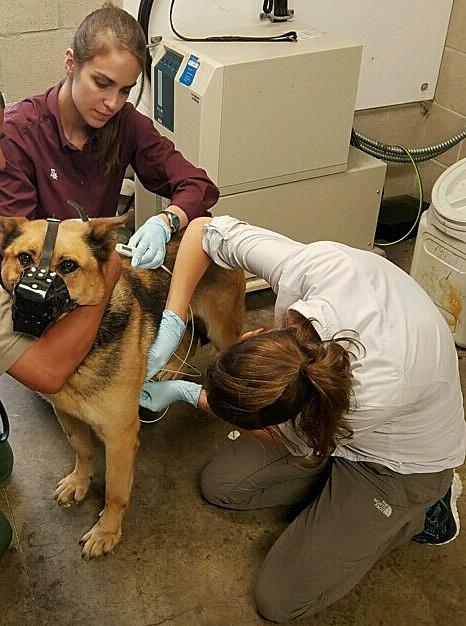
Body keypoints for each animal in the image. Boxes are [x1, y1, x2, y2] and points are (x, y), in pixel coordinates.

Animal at [0, 214, 246, 556]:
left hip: (224, 329)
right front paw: (79, 482)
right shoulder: (68, 416)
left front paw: (107, 531)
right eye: (24, 258)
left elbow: (115, 491)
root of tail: (208, 221)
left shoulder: (120, 438)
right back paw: (169, 367)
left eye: (68, 266)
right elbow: (82, 450)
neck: (78, 351)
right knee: (186, 336)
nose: (29, 306)